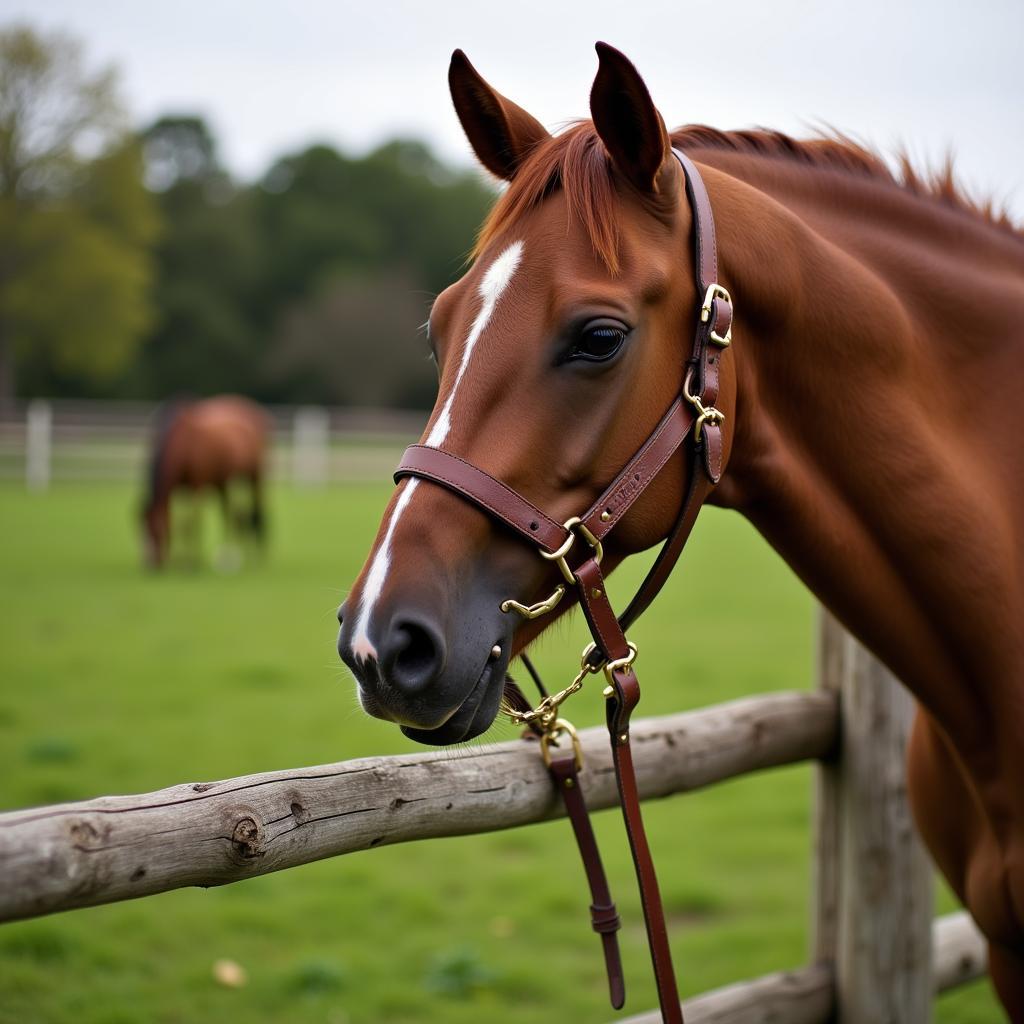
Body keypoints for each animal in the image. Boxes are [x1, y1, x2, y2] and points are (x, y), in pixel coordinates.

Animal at [141, 393, 268, 569]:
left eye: (157, 531)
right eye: (139, 530)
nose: (151, 566)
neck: (183, 444)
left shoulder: (197, 487)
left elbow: (193, 523)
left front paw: (192, 563)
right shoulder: (178, 490)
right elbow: (180, 524)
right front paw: (180, 561)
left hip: (254, 477)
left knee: (255, 513)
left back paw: (253, 556)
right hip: (223, 483)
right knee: (233, 515)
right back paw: (228, 556)